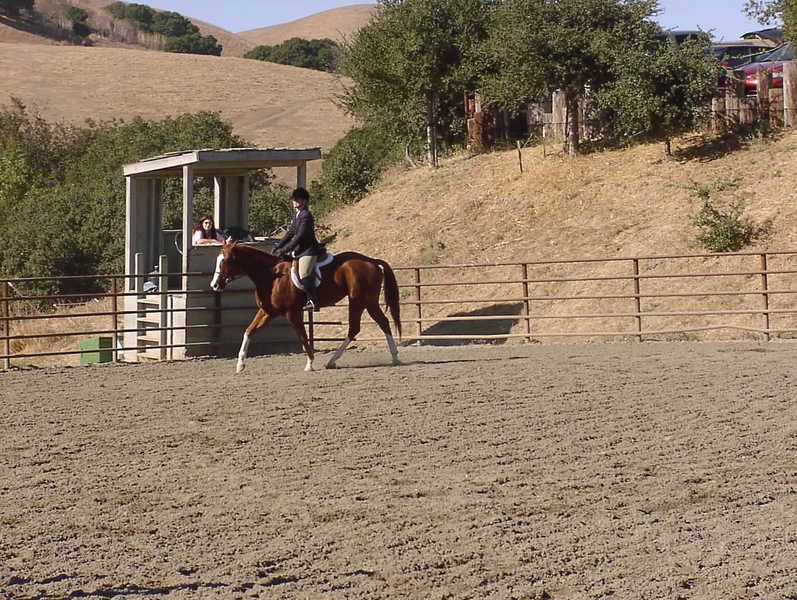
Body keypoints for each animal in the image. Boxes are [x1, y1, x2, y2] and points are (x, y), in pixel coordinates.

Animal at [210, 241, 401, 372]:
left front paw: (310, 363)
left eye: (226, 260)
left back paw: (334, 360)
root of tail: (370, 260)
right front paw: (240, 364)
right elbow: (249, 331)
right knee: (380, 322)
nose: (214, 285)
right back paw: (393, 358)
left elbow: (302, 336)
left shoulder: (292, 313)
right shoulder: (268, 311)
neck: (272, 275)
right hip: (368, 301)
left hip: (360, 301)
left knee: (358, 327)